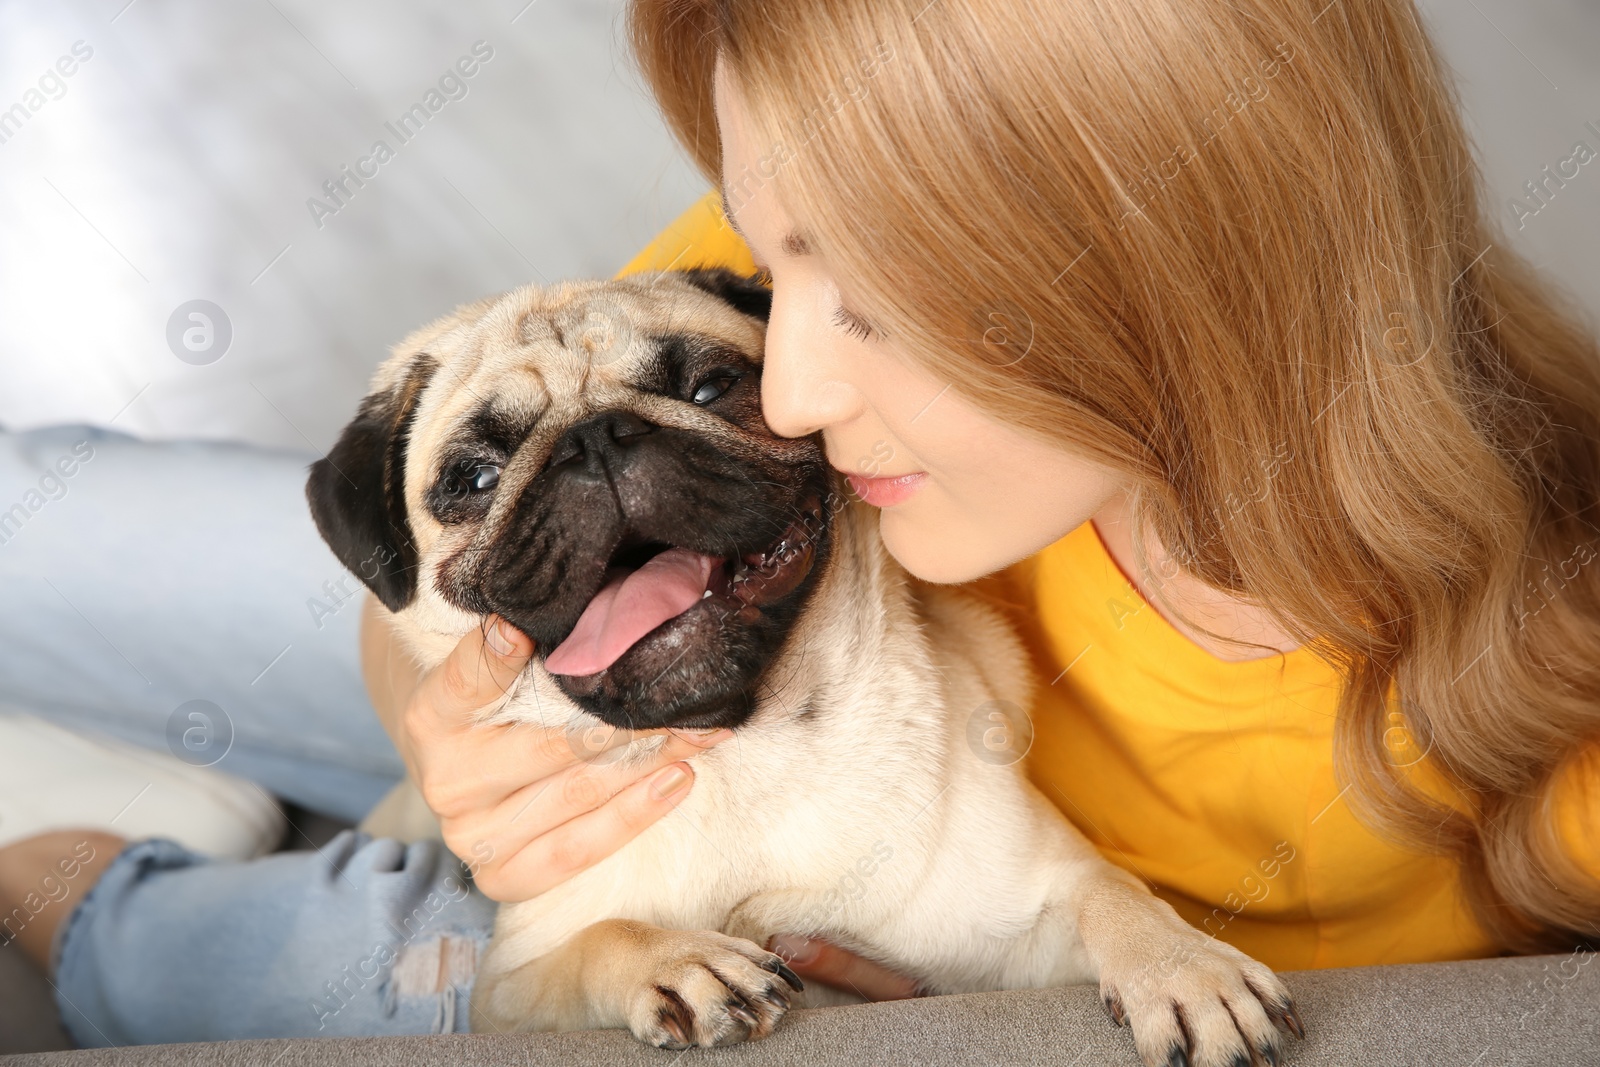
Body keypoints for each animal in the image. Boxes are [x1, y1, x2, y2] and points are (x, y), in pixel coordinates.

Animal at [305, 268, 1305, 1067]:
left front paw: (1183, 967)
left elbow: (1109, 895)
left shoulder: (1024, 908)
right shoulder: (504, 995)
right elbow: (599, 938)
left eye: (711, 387)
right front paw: (676, 960)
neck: (741, 748)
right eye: (473, 479)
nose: (594, 438)